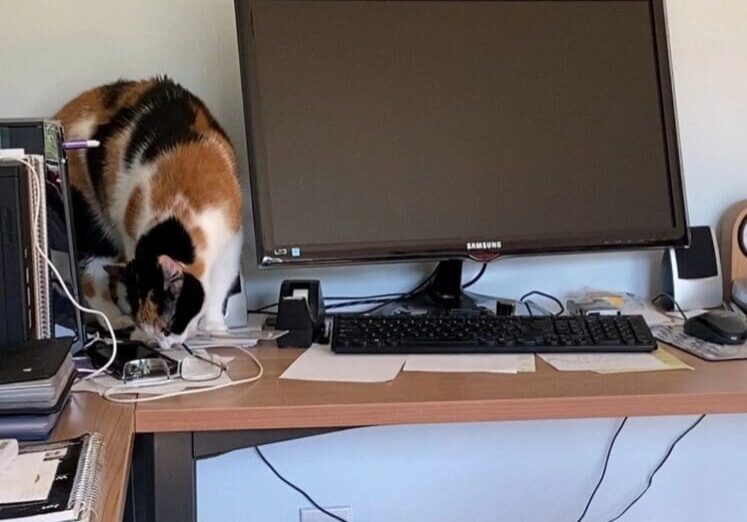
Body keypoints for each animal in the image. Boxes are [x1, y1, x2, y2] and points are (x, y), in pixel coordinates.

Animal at [56, 76, 243, 346]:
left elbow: (219, 287)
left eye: (168, 326)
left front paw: (215, 327)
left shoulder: (231, 243)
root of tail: (64, 112)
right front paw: (137, 331)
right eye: (150, 328)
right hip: (91, 217)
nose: (162, 345)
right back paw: (115, 318)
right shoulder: (129, 229)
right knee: (90, 276)